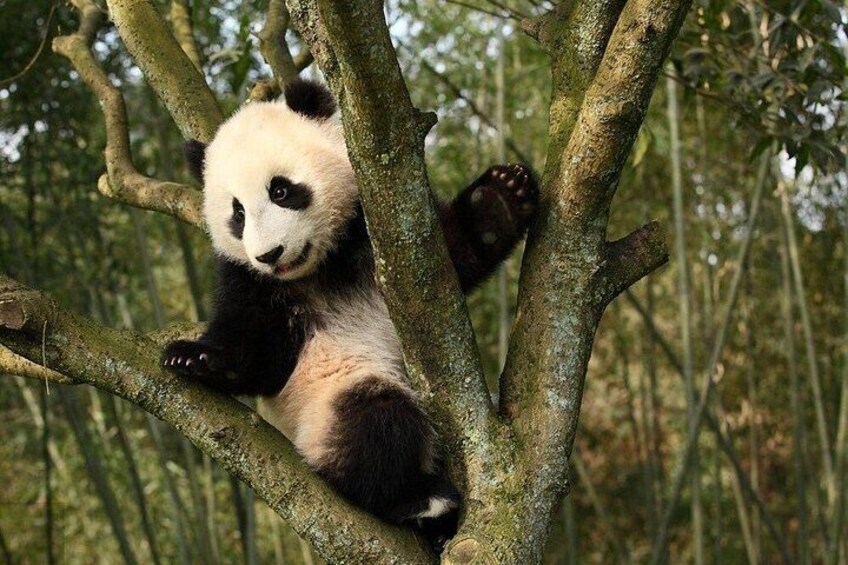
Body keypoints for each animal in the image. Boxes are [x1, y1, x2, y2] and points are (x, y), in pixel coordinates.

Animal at [162, 78, 538, 548]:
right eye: (238, 213)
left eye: (280, 190)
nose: (269, 255)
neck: (322, 263)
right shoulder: (251, 283)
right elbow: (259, 355)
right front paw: (193, 356)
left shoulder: (385, 238)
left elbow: (456, 254)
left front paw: (503, 195)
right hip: (323, 403)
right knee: (373, 419)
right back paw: (416, 501)